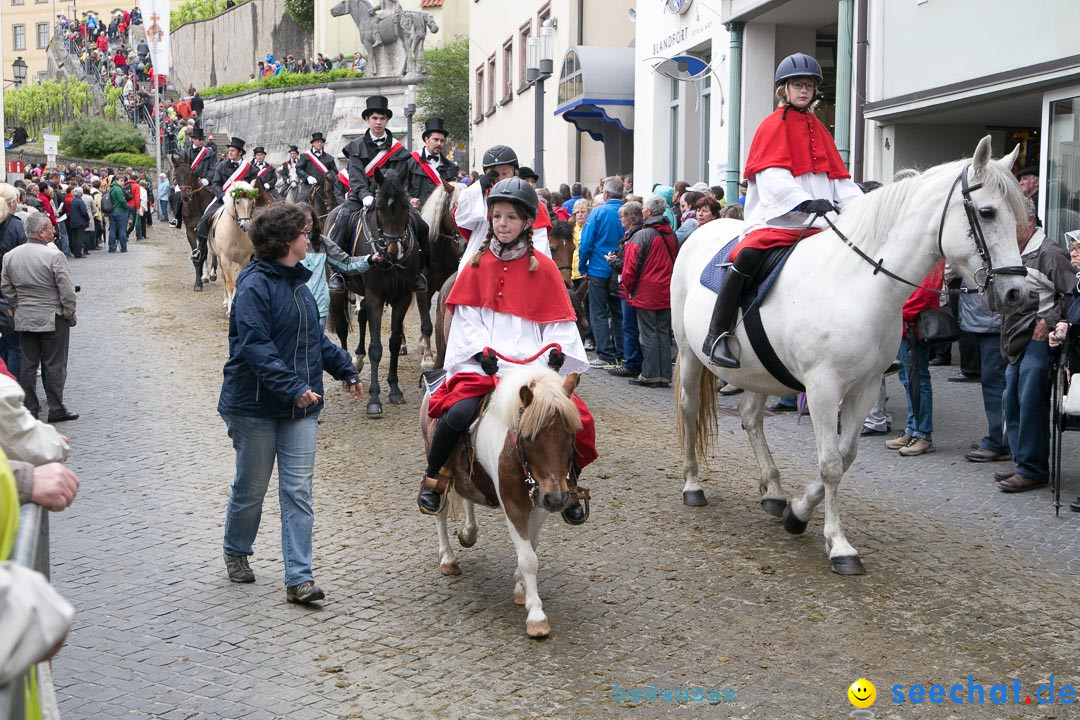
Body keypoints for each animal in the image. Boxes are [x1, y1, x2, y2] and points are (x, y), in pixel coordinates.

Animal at [207, 180, 258, 315]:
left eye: (252, 202)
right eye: (237, 201)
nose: (245, 226)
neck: (236, 233)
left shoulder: (244, 260)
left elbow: (236, 283)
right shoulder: (225, 259)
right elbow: (229, 284)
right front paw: (230, 309)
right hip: (220, 259)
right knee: (224, 278)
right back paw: (225, 301)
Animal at [324, 167, 416, 416]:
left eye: (406, 206)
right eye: (380, 207)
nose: (394, 252)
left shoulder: (402, 298)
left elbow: (393, 342)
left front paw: (394, 389)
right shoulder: (376, 298)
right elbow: (376, 348)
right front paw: (374, 399)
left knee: (362, 316)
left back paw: (357, 357)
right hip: (338, 292)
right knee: (343, 327)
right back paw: (347, 372)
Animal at [673, 134, 1028, 574]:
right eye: (987, 211)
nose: (1018, 294)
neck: (858, 283)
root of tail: (706, 228)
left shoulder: (865, 386)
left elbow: (845, 456)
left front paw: (797, 512)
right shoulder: (824, 389)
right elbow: (830, 464)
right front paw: (839, 545)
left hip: (758, 370)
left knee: (751, 417)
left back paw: (773, 491)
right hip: (691, 353)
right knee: (690, 408)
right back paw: (693, 484)